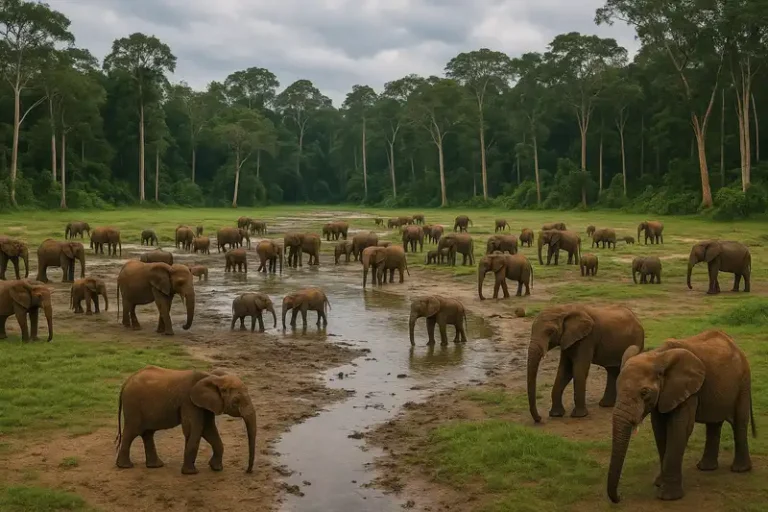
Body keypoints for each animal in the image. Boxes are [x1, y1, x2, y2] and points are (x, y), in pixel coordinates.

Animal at [115, 365, 257, 474]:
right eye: (236, 401)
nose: (247, 471)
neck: (213, 377)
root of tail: (126, 382)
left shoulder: (205, 404)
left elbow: (208, 429)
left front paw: (216, 468)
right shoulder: (189, 402)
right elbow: (195, 429)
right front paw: (191, 473)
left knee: (147, 433)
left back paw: (155, 466)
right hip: (133, 405)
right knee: (132, 432)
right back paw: (125, 466)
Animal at [607, 330, 754, 503]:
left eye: (644, 393)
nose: (619, 498)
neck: (656, 356)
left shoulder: (687, 390)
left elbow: (679, 428)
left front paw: (668, 496)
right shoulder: (664, 394)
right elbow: (660, 429)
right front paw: (659, 483)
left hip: (744, 381)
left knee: (739, 422)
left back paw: (739, 470)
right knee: (714, 423)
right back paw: (706, 468)